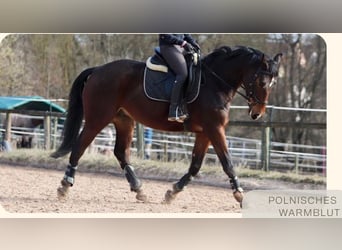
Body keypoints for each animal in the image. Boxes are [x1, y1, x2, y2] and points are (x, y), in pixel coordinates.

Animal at [50, 46, 280, 205]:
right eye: (261, 82)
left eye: (273, 83)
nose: (257, 113)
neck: (215, 84)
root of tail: (98, 69)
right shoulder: (215, 129)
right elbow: (228, 163)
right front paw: (239, 194)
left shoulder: (205, 133)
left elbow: (195, 166)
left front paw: (172, 192)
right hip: (97, 119)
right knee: (79, 146)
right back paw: (65, 185)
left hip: (124, 120)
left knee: (121, 153)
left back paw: (139, 189)